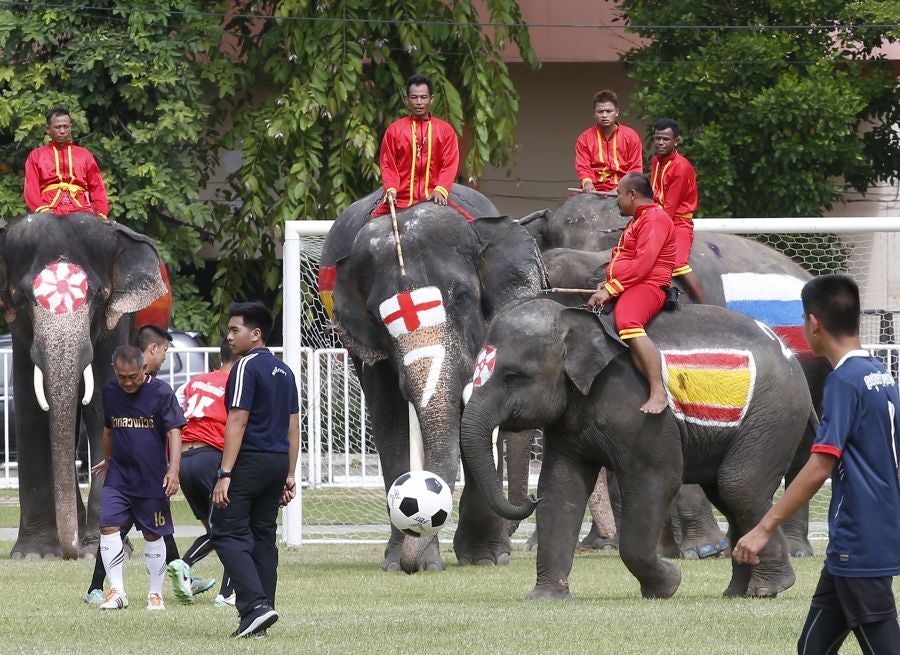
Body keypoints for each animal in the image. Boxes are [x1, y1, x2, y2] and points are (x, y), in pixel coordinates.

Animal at [2, 212, 168, 559]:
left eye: (101, 296)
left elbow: (104, 402)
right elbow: (29, 408)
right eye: (21, 299)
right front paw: (34, 554)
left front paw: (97, 549)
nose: (72, 551)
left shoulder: (115, 323)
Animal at [320, 188, 545, 573]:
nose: (533, 499)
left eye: (464, 297)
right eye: (378, 320)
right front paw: (404, 562)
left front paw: (486, 559)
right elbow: (392, 421)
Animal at [460, 298, 814, 600]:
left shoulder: (643, 412)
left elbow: (656, 479)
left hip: (773, 415)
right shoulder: (567, 420)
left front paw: (668, 585)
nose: (530, 499)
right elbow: (562, 487)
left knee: (739, 487)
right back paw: (738, 593)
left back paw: (770, 587)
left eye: (512, 376)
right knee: (727, 494)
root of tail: (789, 352)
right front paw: (545, 598)